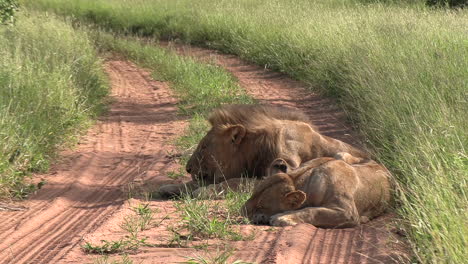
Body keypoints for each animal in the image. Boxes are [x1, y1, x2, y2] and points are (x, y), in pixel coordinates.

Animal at [159, 104, 368, 197]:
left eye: (204, 146)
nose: (187, 168)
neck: (255, 149)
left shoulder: (284, 170)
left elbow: (236, 181)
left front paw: (205, 191)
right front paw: (171, 188)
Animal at [241, 153, 392, 229]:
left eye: (261, 206)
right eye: (252, 195)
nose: (240, 213)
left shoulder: (348, 213)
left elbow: (313, 211)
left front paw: (283, 217)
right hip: (340, 153)